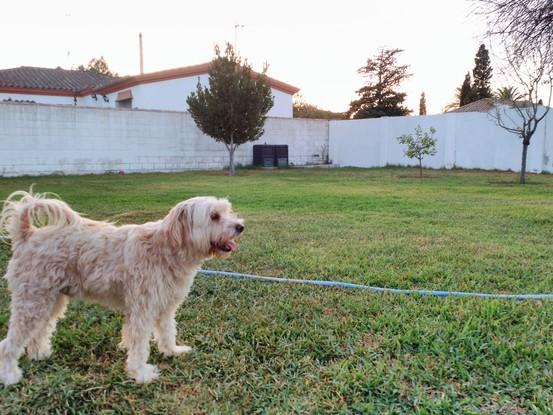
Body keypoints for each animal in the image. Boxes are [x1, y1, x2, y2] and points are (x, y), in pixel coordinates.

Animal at [0, 190, 244, 386]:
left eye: (227, 211)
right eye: (214, 216)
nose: (240, 226)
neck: (168, 248)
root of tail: (27, 234)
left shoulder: (164, 307)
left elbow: (167, 332)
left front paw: (172, 352)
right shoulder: (143, 310)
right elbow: (140, 345)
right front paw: (141, 373)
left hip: (50, 300)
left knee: (38, 332)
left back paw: (39, 354)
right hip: (32, 302)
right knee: (8, 344)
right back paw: (10, 375)